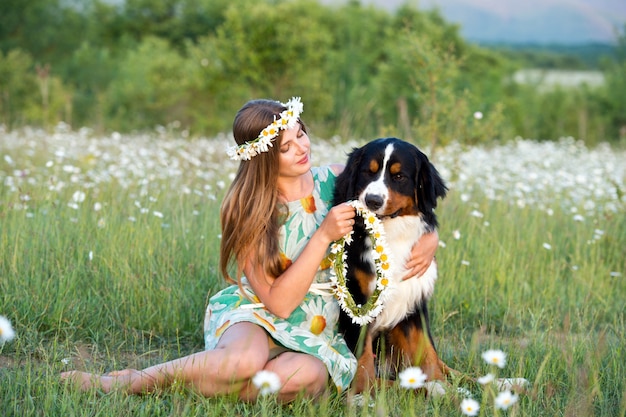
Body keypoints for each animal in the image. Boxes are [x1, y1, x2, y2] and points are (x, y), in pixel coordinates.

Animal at [334, 137, 450, 394]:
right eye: (368, 172)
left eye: (399, 177)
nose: (373, 200)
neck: (389, 236)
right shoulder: (356, 300)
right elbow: (363, 360)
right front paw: (362, 392)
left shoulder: (415, 300)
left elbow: (428, 353)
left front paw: (441, 386)